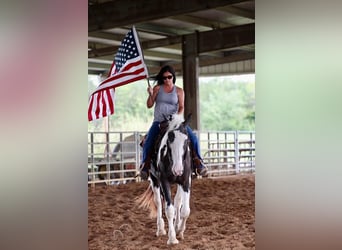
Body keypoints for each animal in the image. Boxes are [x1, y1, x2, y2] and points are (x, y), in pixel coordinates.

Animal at [138, 113, 194, 244]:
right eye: (169, 140)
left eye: (186, 140)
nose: (177, 169)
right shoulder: (164, 181)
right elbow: (169, 209)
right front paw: (172, 238)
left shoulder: (185, 181)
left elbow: (185, 210)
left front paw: (180, 230)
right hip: (154, 179)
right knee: (159, 202)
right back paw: (161, 229)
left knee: (177, 202)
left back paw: (176, 225)